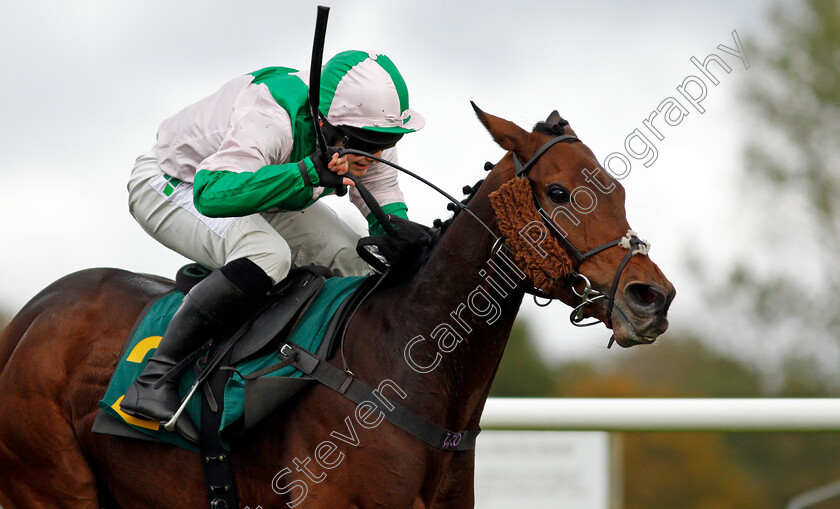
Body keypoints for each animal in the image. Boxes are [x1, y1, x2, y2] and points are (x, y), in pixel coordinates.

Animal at [0, 105, 672, 506]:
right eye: (557, 192)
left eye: (619, 190)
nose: (652, 298)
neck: (404, 364)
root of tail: (30, 316)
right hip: (52, 485)